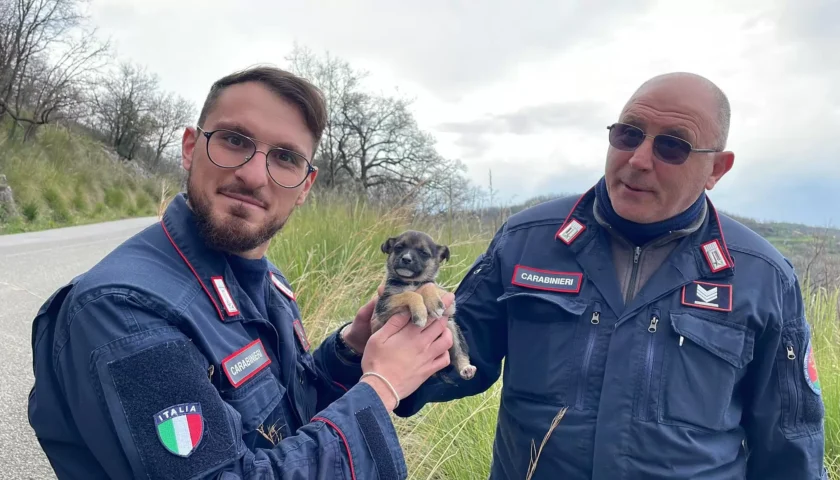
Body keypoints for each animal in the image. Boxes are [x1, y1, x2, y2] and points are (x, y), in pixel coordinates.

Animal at [370, 229, 476, 378]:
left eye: (424, 253)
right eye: (398, 247)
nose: (406, 259)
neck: (411, 282)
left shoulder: (449, 306)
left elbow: (428, 284)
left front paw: (433, 303)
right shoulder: (384, 305)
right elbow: (410, 294)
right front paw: (420, 313)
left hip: (452, 328)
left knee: (459, 354)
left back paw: (466, 368)